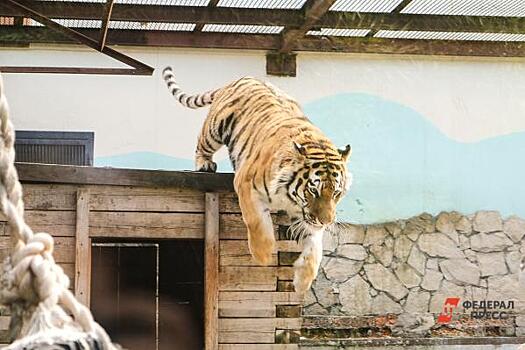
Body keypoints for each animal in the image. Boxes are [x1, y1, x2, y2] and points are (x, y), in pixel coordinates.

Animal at [163, 66, 352, 292]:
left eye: (336, 193)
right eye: (313, 190)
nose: (326, 221)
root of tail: (240, 79)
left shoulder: (303, 213)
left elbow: (315, 247)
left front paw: (303, 281)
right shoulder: (246, 185)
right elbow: (257, 222)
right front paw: (264, 256)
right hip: (215, 127)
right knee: (201, 144)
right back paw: (204, 164)